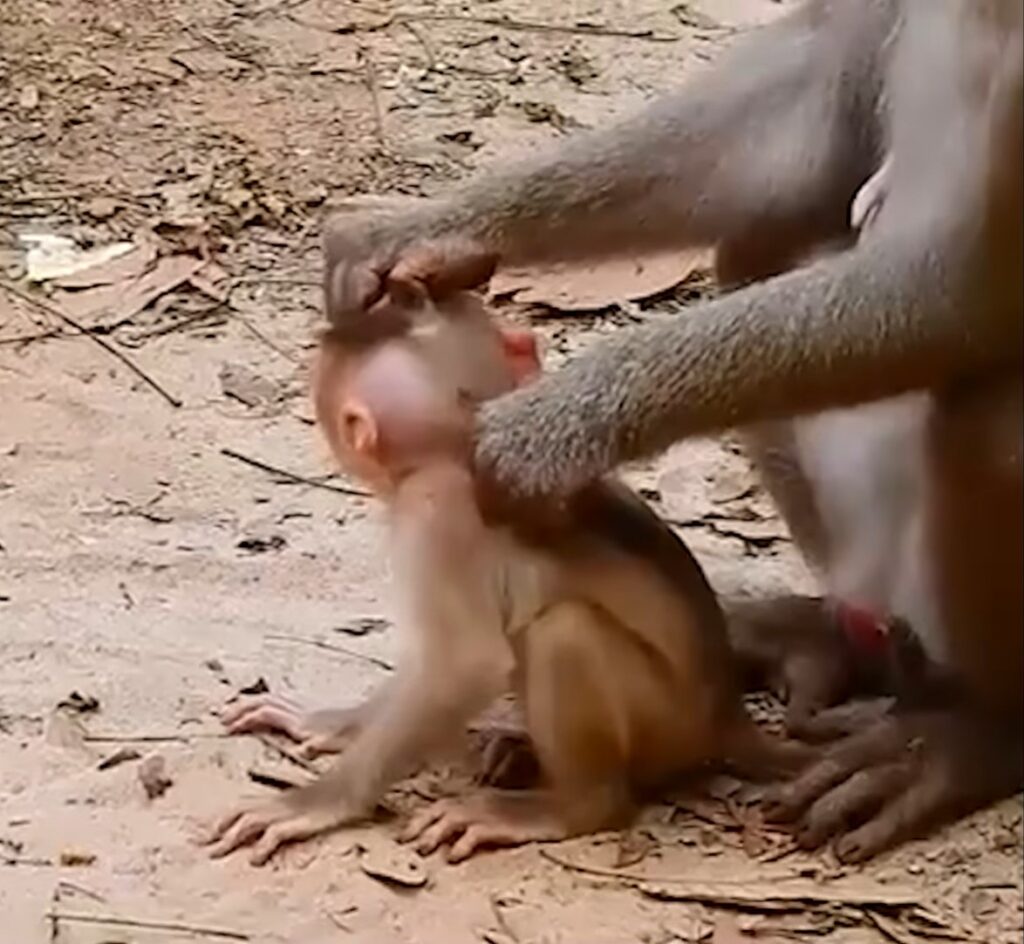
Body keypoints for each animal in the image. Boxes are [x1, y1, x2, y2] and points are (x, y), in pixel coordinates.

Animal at [204, 252, 806, 866]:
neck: (461, 445)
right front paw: (336, 723)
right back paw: (519, 752)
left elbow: (463, 663)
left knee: (563, 631)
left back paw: (570, 808)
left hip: (667, 725)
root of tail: (726, 717)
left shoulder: (435, 509)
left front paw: (318, 802)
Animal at [319, 0, 1023, 863]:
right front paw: (424, 231)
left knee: (996, 404)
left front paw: (560, 422)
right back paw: (828, 637)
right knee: (765, 232)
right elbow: (810, 102)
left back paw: (976, 732)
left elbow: (969, 283)